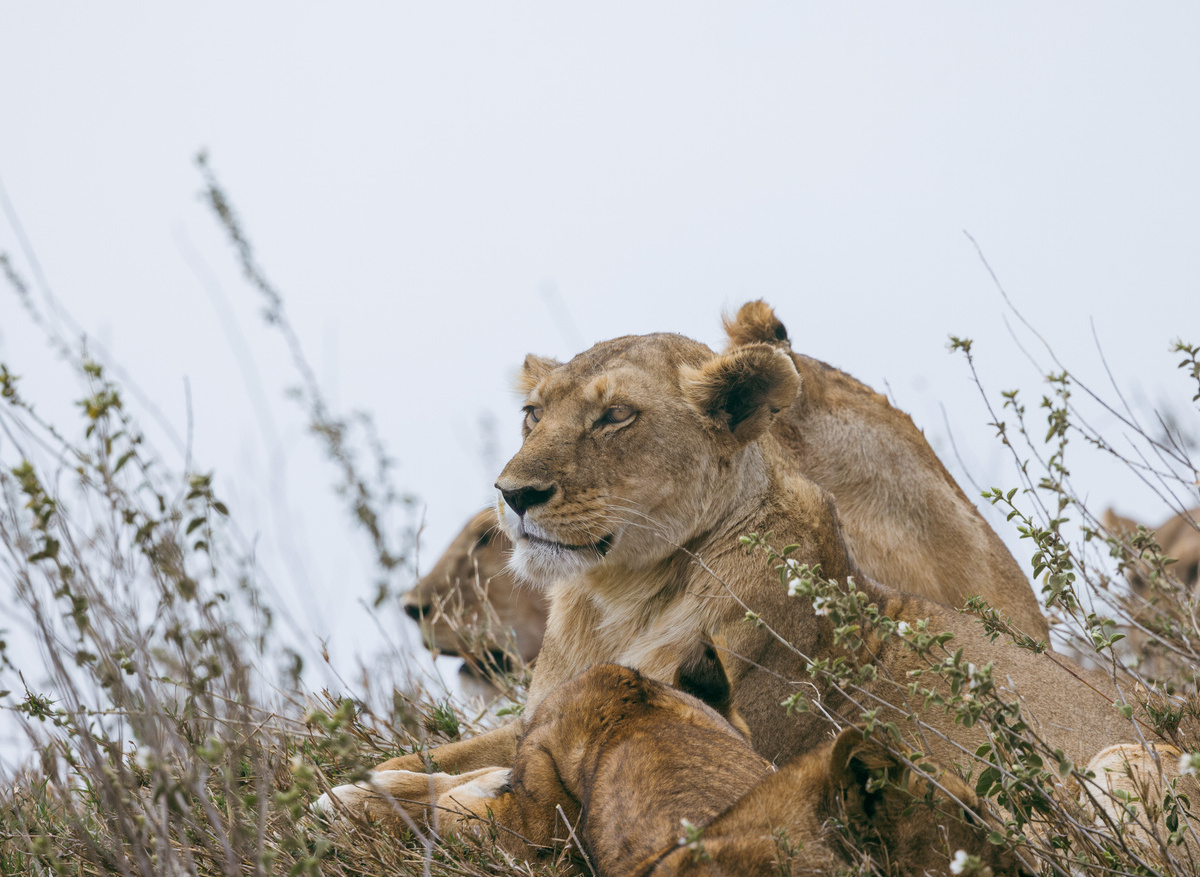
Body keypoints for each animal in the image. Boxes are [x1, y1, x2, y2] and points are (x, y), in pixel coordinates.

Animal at [327, 329, 1149, 825]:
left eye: (614, 417)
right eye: (532, 414)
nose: (514, 493)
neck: (616, 600)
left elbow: (472, 788)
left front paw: (370, 801)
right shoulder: (533, 717)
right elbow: (432, 754)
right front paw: (366, 781)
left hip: (1122, 760)